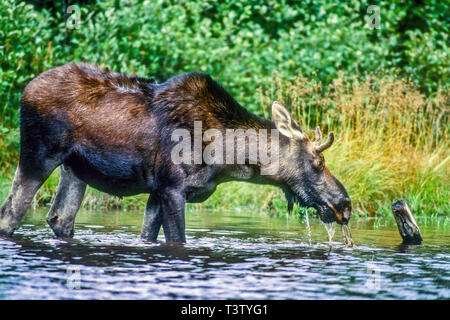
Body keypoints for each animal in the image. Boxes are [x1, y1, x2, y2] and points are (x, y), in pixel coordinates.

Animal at [0, 62, 352, 242]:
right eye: (318, 161)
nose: (344, 204)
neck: (228, 159)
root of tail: (25, 90)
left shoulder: (157, 191)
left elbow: (147, 237)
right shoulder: (172, 188)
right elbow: (178, 241)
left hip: (74, 169)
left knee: (60, 218)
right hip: (37, 156)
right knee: (10, 214)